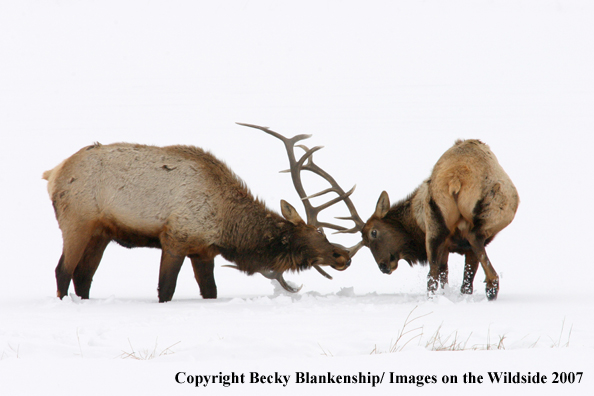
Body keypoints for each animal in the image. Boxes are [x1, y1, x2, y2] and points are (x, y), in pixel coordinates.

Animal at [44, 127, 358, 300]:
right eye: (313, 233)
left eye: (323, 232)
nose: (343, 255)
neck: (227, 226)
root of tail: (53, 173)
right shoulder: (175, 238)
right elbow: (165, 289)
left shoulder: (203, 251)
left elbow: (210, 291)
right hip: (76, 221)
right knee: (63, 271)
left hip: (101, 233)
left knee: (83, 276)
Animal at [358, 139, 516, 300]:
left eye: (373, 232)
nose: (383, 266)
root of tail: (455, 180)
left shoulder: (444, 246)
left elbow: (446, 275)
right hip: (498, 212)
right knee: (474, 243)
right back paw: (491, 290)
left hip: (435, 226)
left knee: (433, 275)